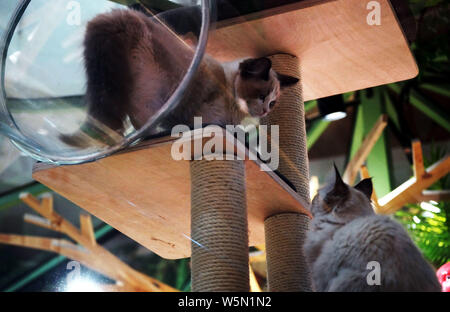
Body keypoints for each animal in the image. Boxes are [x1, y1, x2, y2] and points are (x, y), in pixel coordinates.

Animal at [60, 9, 298, 146]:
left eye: (273, 102)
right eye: (261, 95)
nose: (266, 111)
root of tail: (120, 15)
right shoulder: (212, 118)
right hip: (155, 89)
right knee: (139, 120)